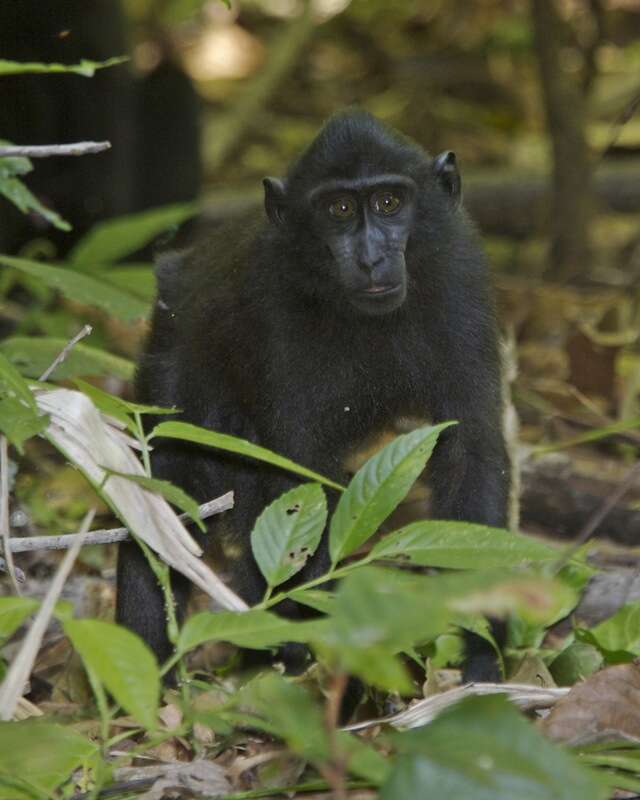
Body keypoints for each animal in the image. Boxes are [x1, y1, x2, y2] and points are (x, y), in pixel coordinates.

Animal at [116, 108, 510, 680]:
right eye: (339, 209)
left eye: (389, 202)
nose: (371, 258)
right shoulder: (273, 300)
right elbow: (300, 472)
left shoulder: (461, 279)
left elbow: (470, 451)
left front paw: (484, 649)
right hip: (169, 358)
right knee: (162, 484)